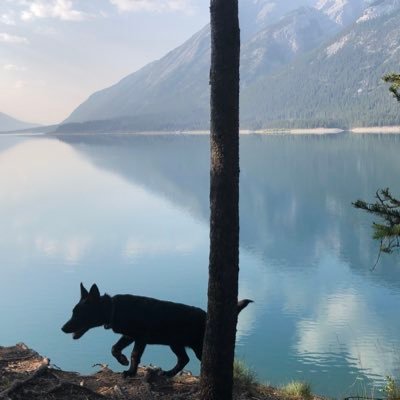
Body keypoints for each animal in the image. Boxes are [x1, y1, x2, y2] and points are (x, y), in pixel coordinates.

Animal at [62, 282, 253, 376]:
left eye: (78, 314)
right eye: (73, 312)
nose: (63, 328)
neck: (113, 309)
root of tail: (207, 316)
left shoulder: (140, 338)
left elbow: (135, 355)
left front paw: (130, 372)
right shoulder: (128, 335)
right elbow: (114, 348)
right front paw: (123, 361)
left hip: (196, 347)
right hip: (175, 343)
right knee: (184, 359)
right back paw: (169, 373)